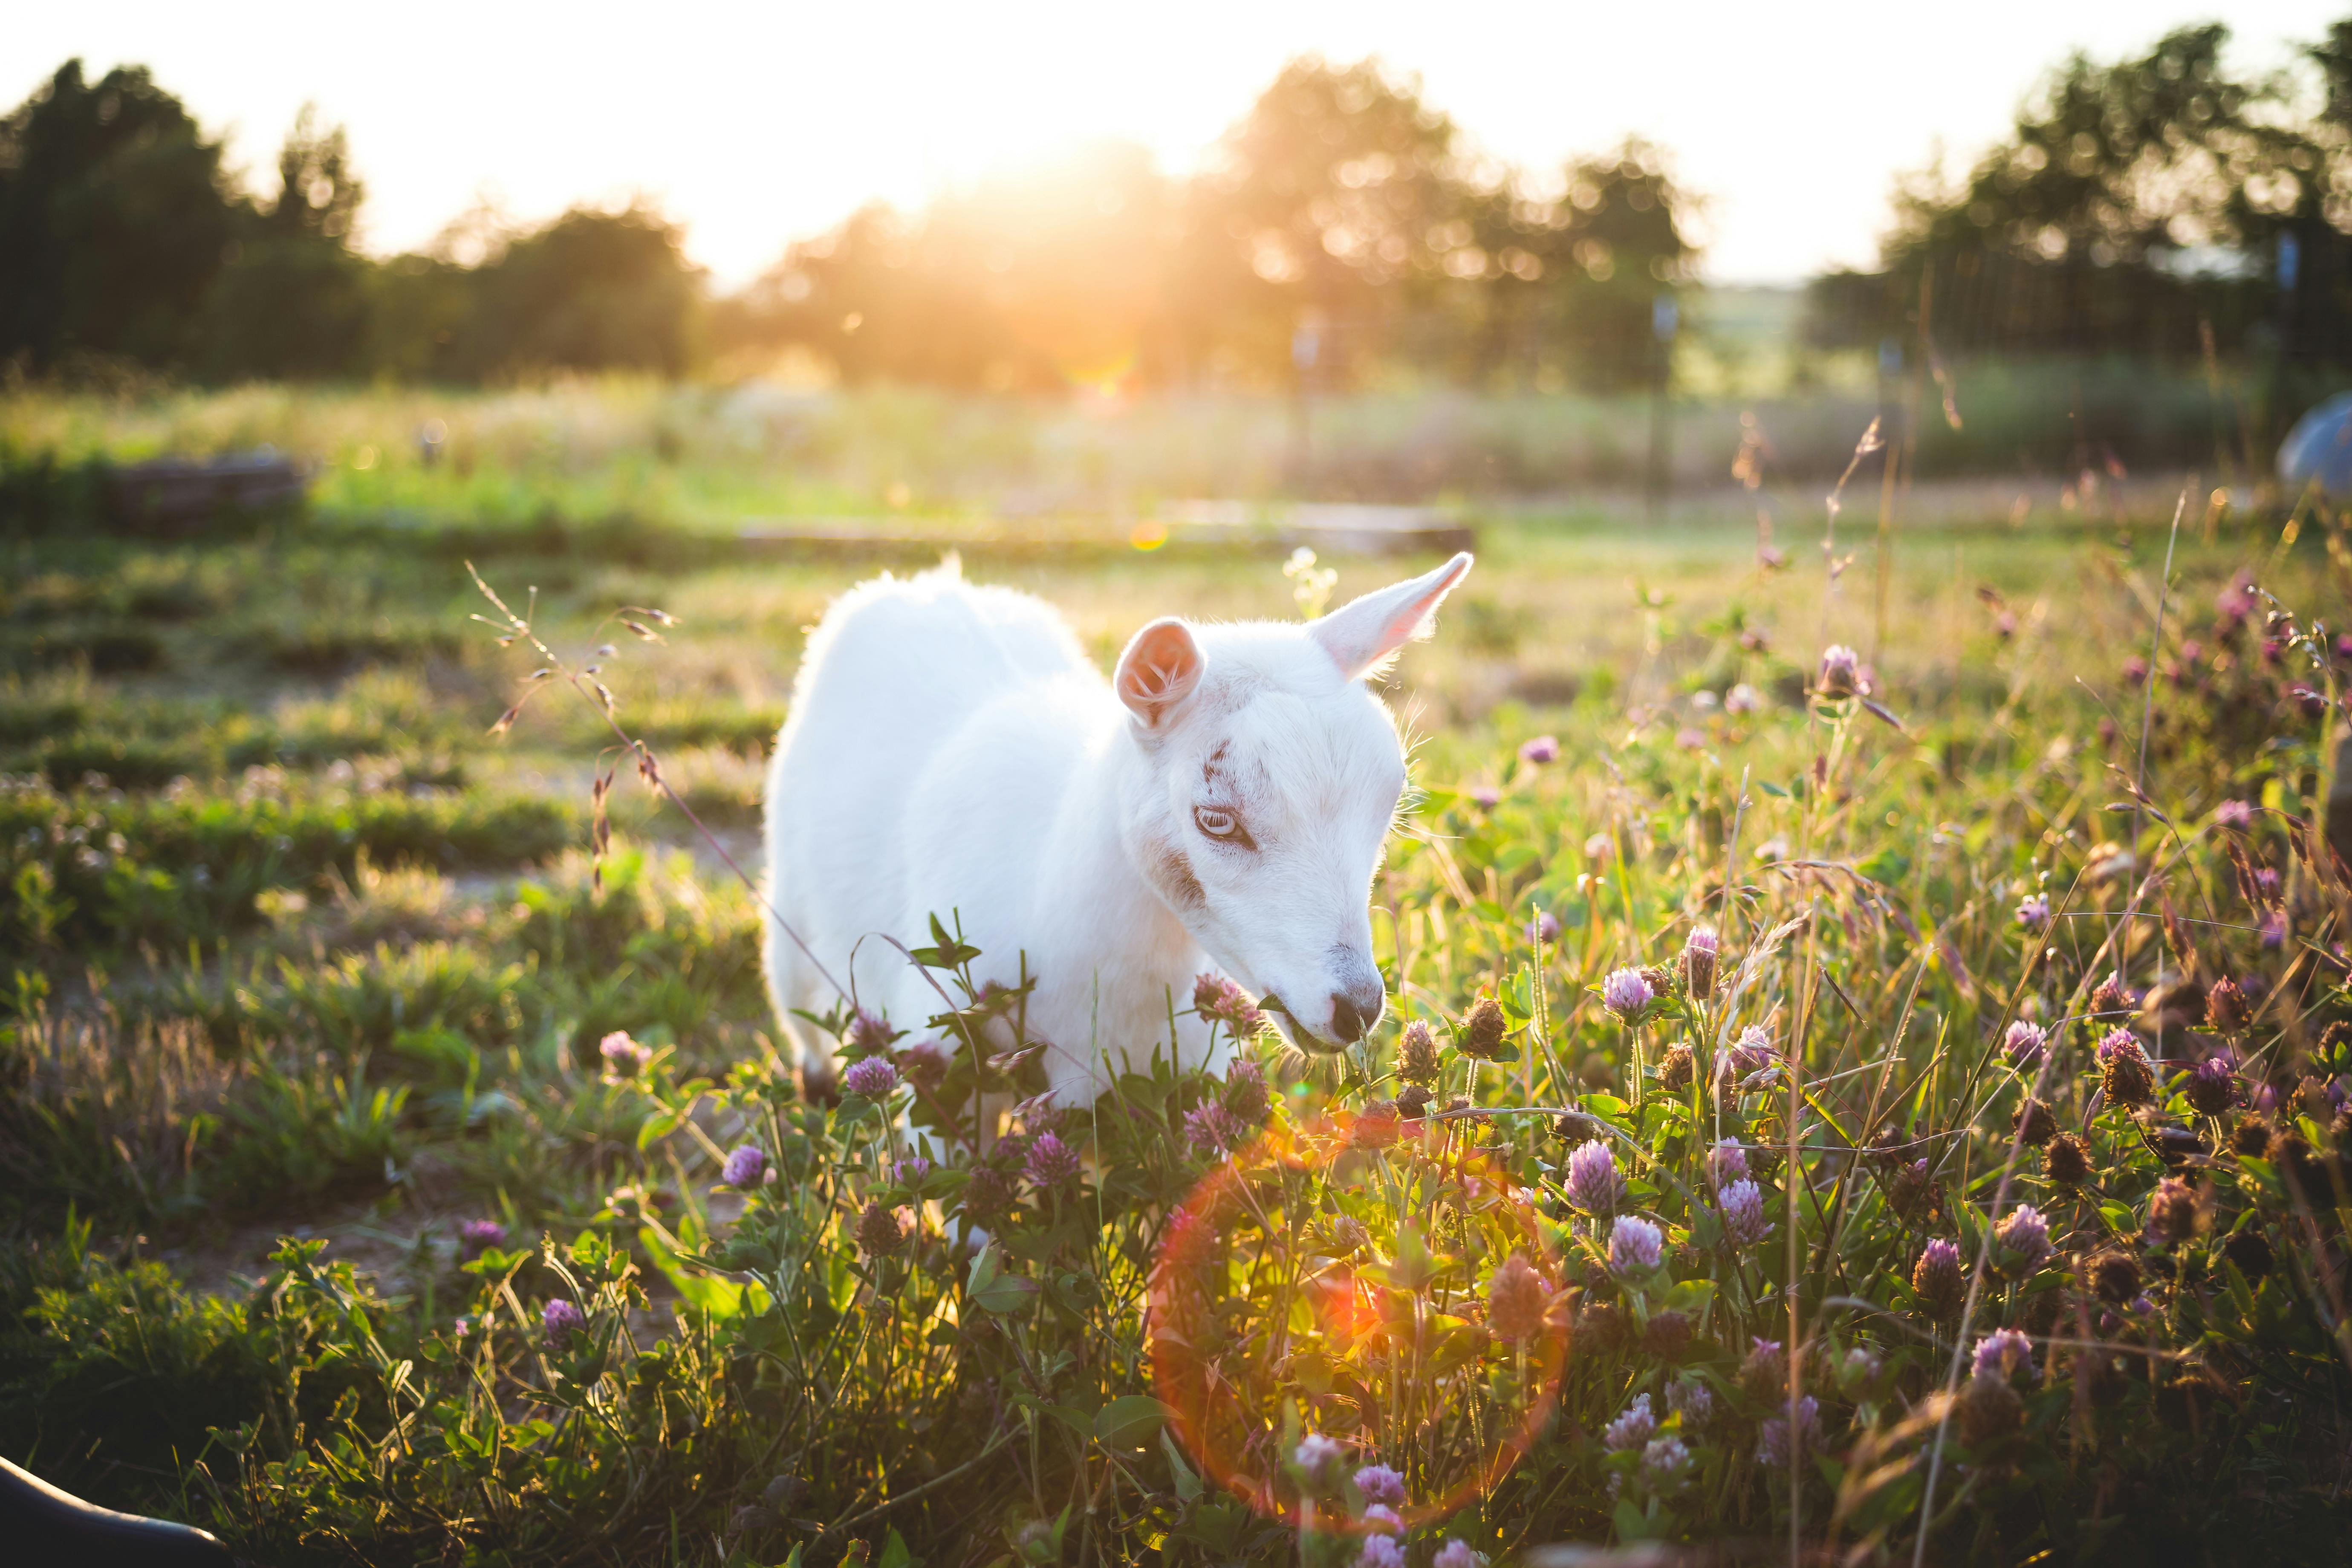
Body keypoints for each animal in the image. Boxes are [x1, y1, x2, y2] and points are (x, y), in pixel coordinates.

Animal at [762, 552, 1468, 1105]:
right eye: (1215, 819)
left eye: (1389, 803)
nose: (1357, 1007)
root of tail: (929, 582)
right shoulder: (941, 1063)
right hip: (791, 914)